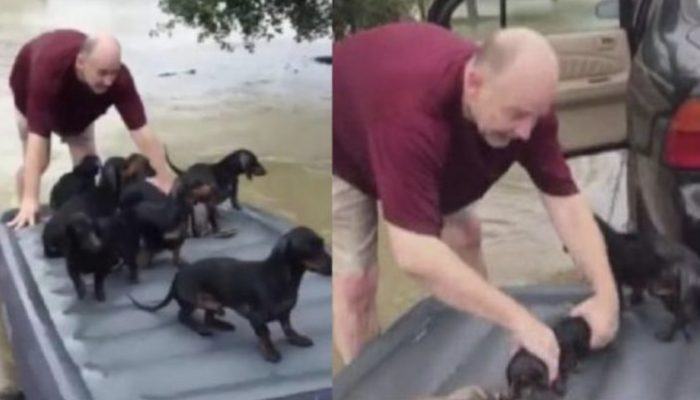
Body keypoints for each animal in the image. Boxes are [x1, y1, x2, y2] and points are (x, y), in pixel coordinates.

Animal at [130, 228, 332, 362]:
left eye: (322, 244)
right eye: (312, 247)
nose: (332, 267)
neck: (280, 278)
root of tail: (177, 276)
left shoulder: (285, 314)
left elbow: (288, 328)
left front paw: (297, 339)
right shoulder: (256, 317)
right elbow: (265, 334)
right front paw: (270, 352)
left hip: (216, 298)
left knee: (209, 316)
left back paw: (222, 323)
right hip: (192, 300)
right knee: (184, 317)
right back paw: (201, 328)